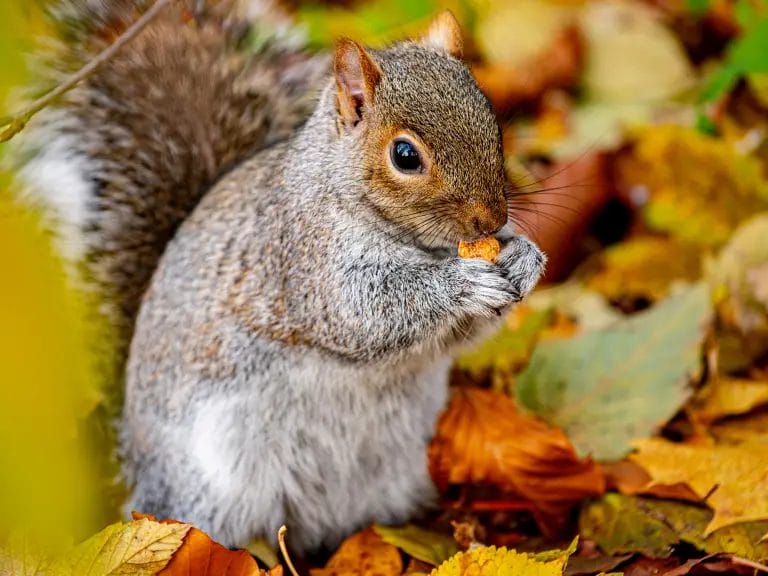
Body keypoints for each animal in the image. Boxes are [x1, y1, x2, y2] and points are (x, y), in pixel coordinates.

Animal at [14, 0, 545, 554]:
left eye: (494, 124)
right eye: (404, 156)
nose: (490, 220)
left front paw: (524, 258)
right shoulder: (304, 260)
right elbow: (367, 312)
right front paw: (462, 283)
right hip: (219, 486)